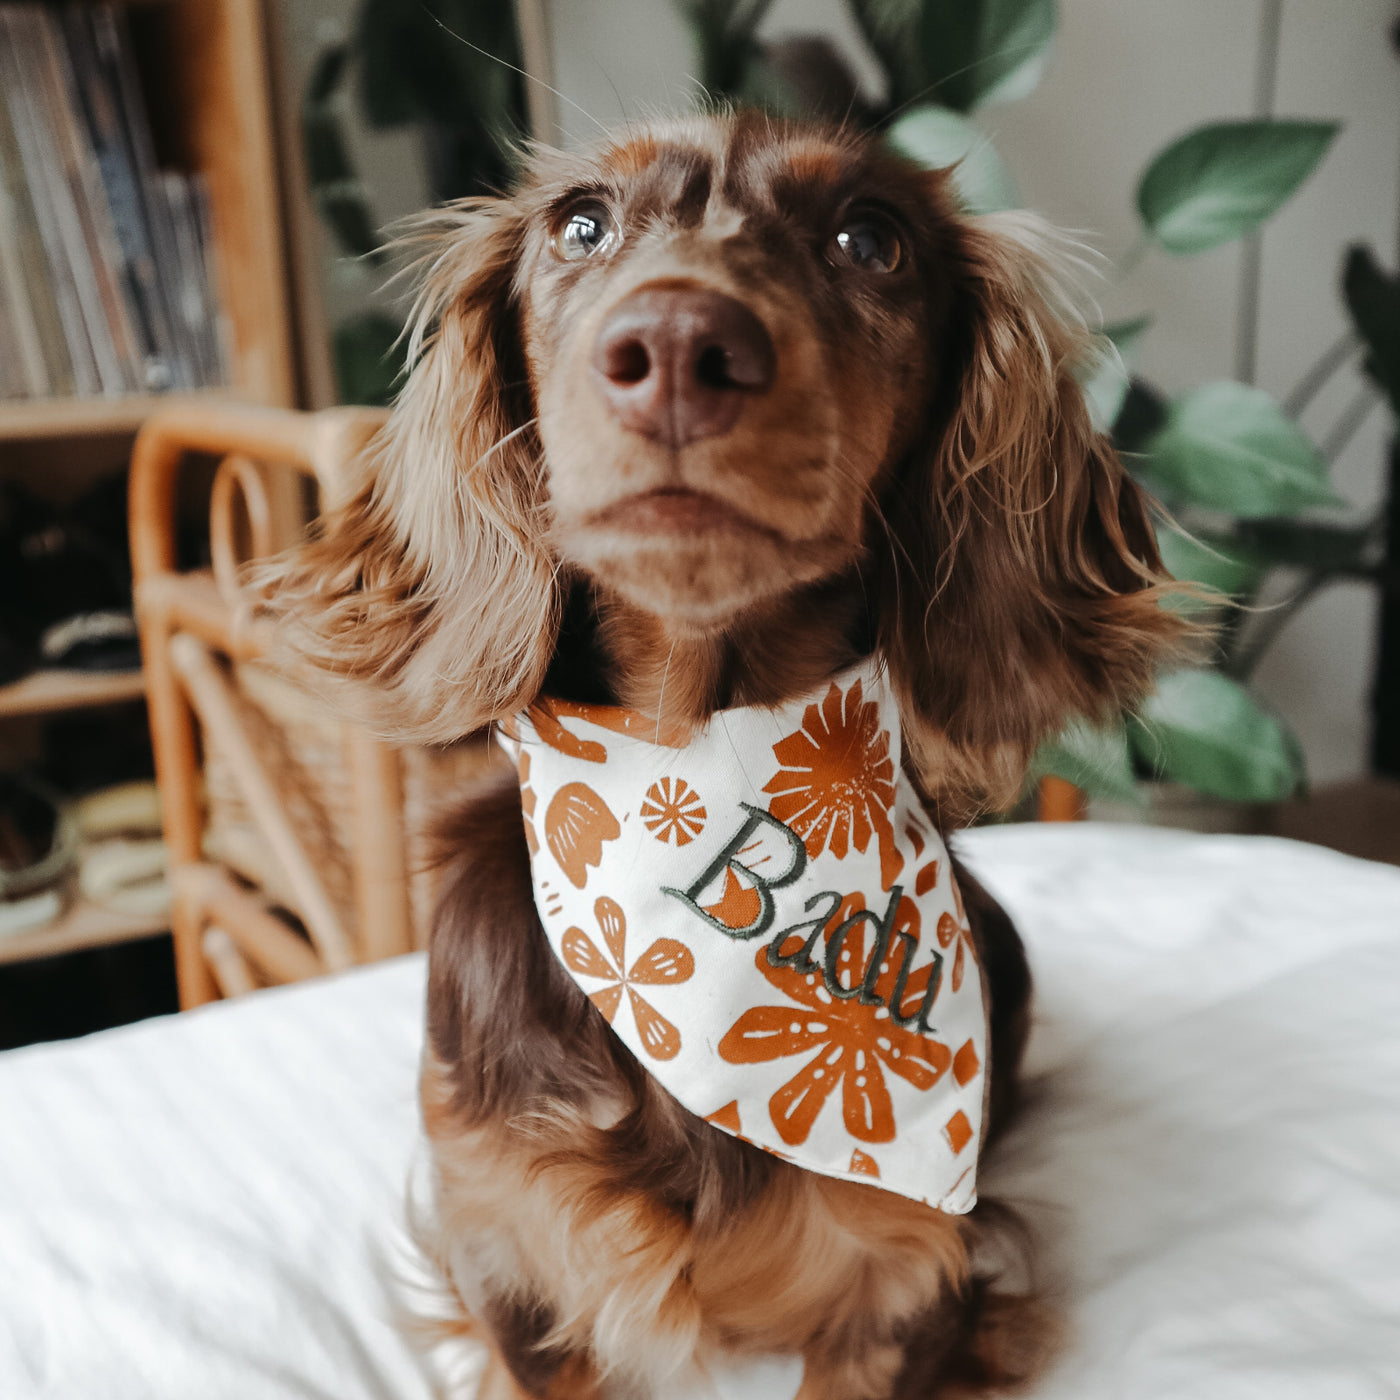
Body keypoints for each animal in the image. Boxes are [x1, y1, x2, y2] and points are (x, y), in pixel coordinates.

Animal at [263, 112, 1181, 1400]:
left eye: (869, 239)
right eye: (580, 226)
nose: (677, 344)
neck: (704, 778)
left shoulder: (912, 1277)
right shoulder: (503, 1243)